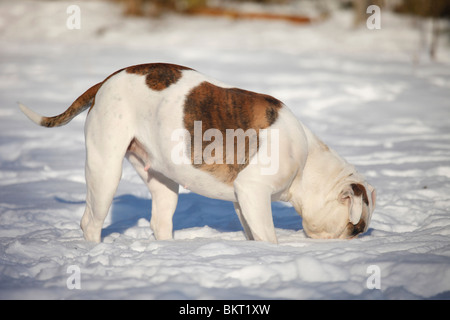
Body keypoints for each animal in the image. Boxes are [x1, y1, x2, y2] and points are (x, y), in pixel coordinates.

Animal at [18, 62, 376, 244]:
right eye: (355, 229)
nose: (357, 242)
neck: (308, 164)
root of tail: (107, 80)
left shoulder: (244, 200)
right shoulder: (254, 190)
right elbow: (268, 236)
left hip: (162, 180)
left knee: (160, 220)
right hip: (105, 169)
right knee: (91, 221)